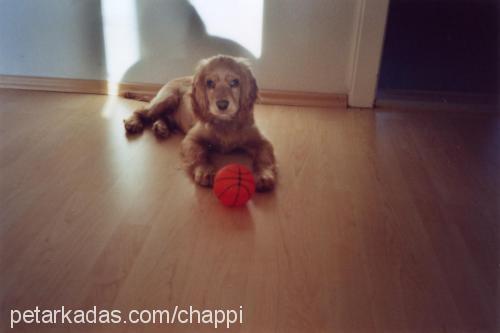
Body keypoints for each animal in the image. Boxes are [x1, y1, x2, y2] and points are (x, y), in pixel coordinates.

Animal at [122, 55, 278, 192]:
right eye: (209, 83)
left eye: (234, 82)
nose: (222, 105)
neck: (225, 122)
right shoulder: (191, 139)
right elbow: (199, 154)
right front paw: (205, 171)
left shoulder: (262, 141)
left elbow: (263, 158)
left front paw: (263, 175)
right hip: (168, 98)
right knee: (143, 111)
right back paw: (134, 122)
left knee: (162, 117)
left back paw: (161, 127)